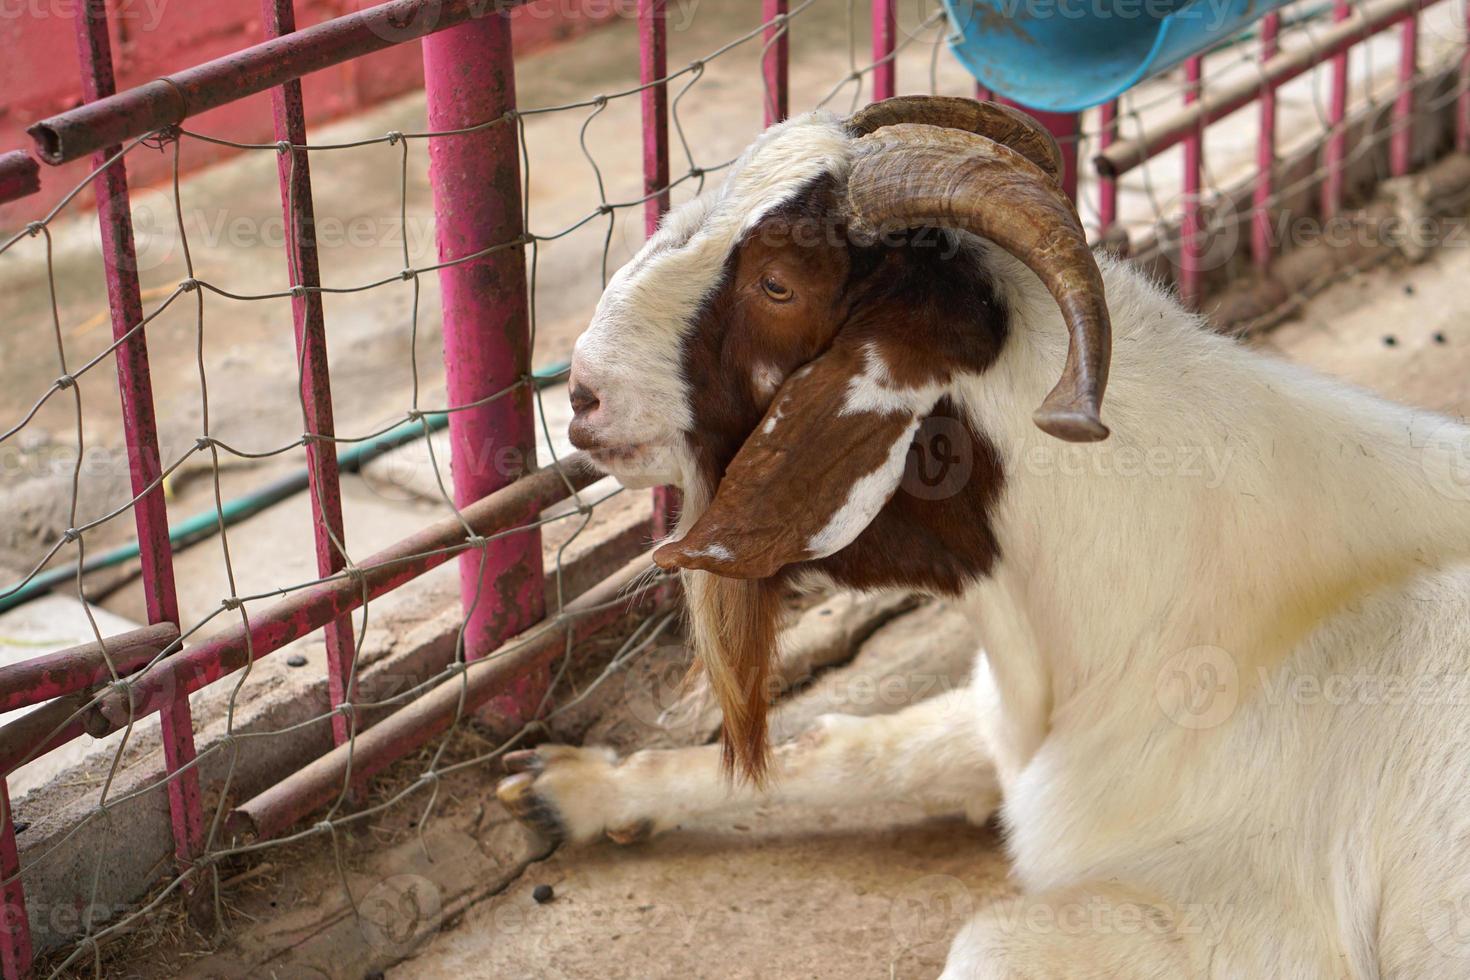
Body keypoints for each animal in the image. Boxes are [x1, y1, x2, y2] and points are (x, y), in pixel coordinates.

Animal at [499, 94, 1470, 980]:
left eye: (779, 285)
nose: (582, 392)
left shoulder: (1254, 928)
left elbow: (984, 939)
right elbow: (852, 746)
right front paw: (572, 788)